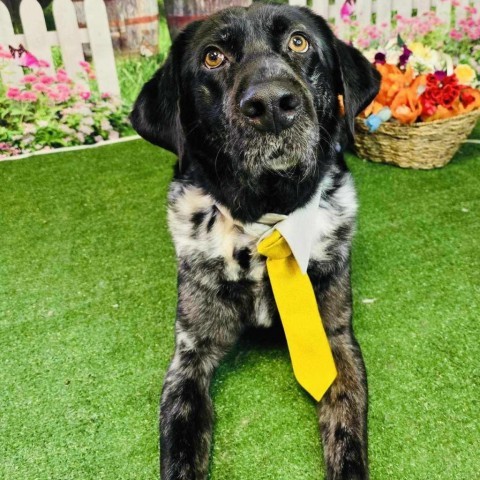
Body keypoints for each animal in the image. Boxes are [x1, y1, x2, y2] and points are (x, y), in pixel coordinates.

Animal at [130, 4, 378, 480]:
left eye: (299, 41)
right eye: (212, 57)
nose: (272, 105)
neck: (265, 221)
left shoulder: (337, 339)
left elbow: (347, 437)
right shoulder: (190, 356)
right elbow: (179, 444)